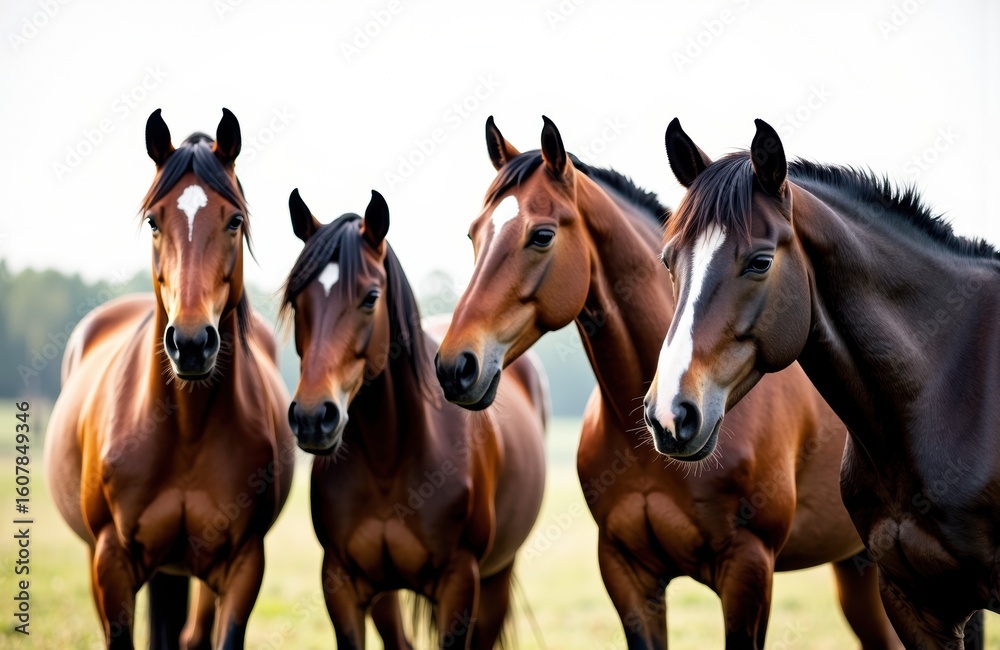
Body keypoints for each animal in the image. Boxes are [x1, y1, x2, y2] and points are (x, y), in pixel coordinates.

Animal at [42, 109, 296, 649]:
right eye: (154, 221)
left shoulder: (244, 566)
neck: (185, 428)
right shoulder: (111, 562)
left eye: (234, 220)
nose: (192, 342)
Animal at [280, 188, 547, 649]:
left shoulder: (460, 583)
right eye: (297, 299)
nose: (314, 417)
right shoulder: (341, 585)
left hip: (498, 575)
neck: (390, 457)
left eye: (371, 297)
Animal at [435, 116, 903, 649]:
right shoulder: (627, 573)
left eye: (542, 235)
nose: (455, 366)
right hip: (858, 565)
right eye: (474, 234)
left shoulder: (747, 567)